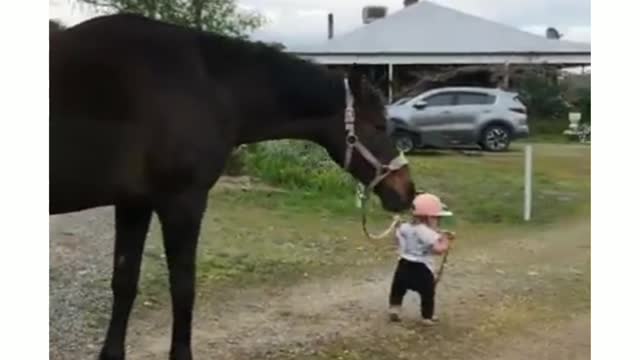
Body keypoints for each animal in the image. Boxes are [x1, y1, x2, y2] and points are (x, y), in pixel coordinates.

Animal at [48, 13, 416, 360]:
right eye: (378, 125)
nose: (407, 191)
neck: (204, 85)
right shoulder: (183, 201)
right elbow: (183, 288)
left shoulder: (134, 203)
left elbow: (124, 282)